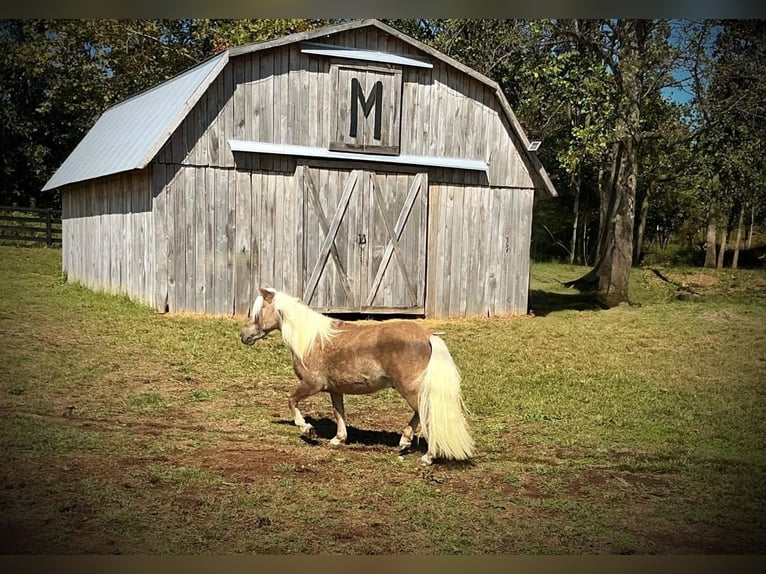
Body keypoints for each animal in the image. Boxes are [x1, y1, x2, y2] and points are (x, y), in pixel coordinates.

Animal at [239, 287, 474, 465]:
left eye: (257, 313)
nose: (243, 336)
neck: (311, 340)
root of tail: (427, 335)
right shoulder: (335, 389)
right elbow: (338, 412)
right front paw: (338, 439)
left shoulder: (311, 384)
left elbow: (291, 401)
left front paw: (308, 430)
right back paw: (404, 442)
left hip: (409, 388)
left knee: (427, 415)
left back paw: (428, 456)